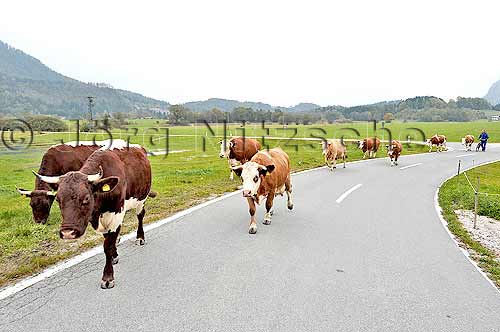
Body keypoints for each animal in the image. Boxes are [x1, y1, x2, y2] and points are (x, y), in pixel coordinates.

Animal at [34, 142, 153, 288]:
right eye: (57, 199)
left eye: (86, 198)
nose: (68, 233)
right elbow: (108, 240)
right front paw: (114, 256)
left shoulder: (116, 214)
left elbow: (107, 246)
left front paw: (107, 278)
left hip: (142, 199)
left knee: (140, 216)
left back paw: (140, 238)